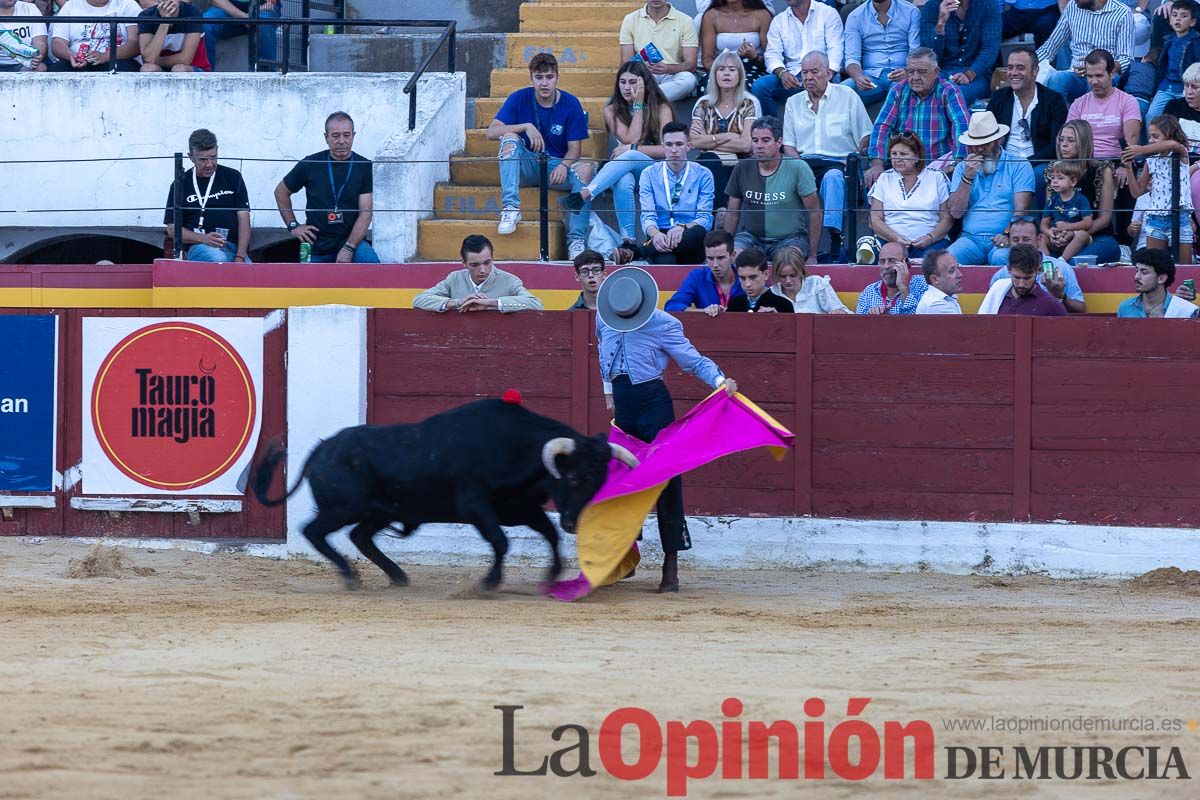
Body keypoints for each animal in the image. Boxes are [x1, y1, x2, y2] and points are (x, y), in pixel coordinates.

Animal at [250, 398, 638, 587]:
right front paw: (489, 582)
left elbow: (549, 535)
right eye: (571, 477)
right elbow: (501, 542)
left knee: (360, 537)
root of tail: (322, 448)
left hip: (379, 511)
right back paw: (350, 576)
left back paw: (398, 576)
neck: (514, 445)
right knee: (313, 531)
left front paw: (552, 575)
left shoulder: (520, 508)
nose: (575, 522)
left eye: (599, 481)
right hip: (344, 508)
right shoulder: (476, 506)